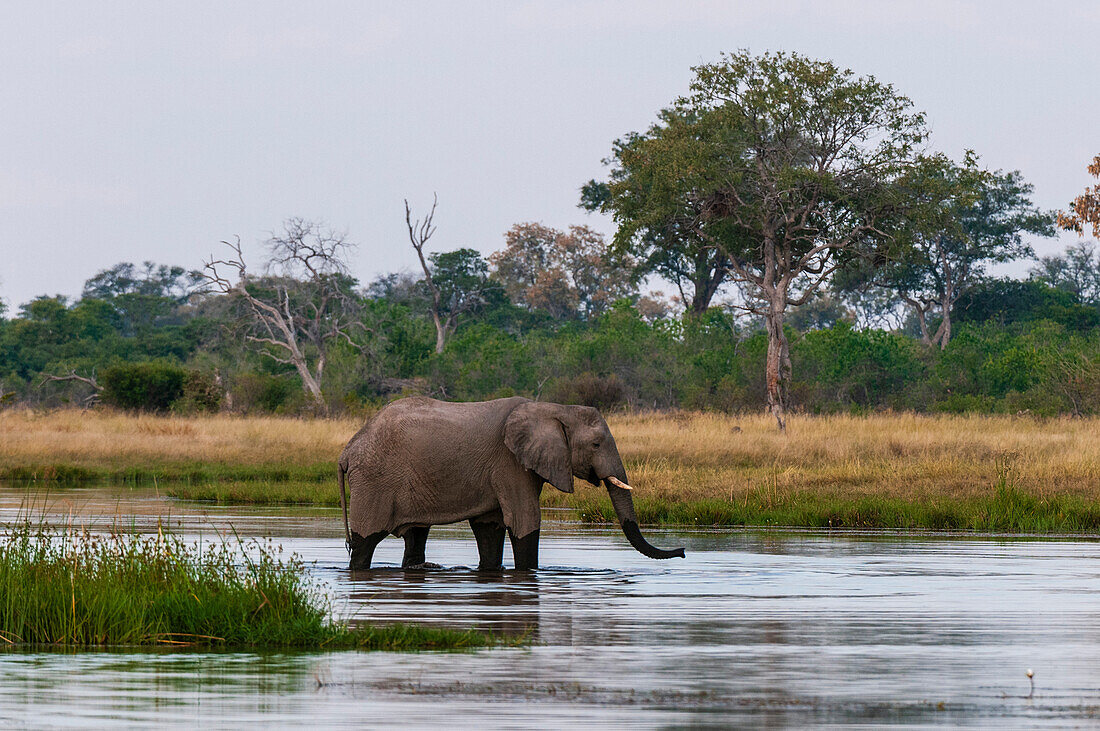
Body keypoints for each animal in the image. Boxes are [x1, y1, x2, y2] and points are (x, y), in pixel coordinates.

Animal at [338, 393, 682, 571]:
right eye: (597, 444)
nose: (681, 552)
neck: (553, 408)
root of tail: (347, 451)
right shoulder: (510, 463)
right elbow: (525, 520)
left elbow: (490, 528)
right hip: (374, 481)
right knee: (366, 542)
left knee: (416, 536)